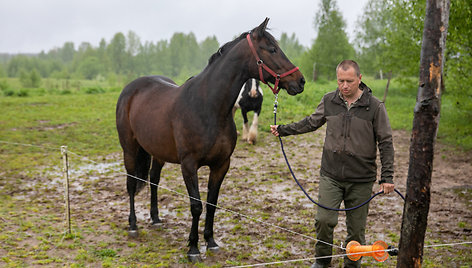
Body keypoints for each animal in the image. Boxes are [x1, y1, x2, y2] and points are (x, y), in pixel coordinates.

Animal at [116, 18, 304, 262]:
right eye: (272, 49)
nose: (300, 81)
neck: (208, 107)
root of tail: (131, 88)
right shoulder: (189, 165)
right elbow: (196, 205)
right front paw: (193, 248)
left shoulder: (221, 164)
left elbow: (212, 203)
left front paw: (211, 242)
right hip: (129, 149)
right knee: (131, 184)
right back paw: (132, 226)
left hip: (157, 152)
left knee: (154, 180)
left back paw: (156, 219)